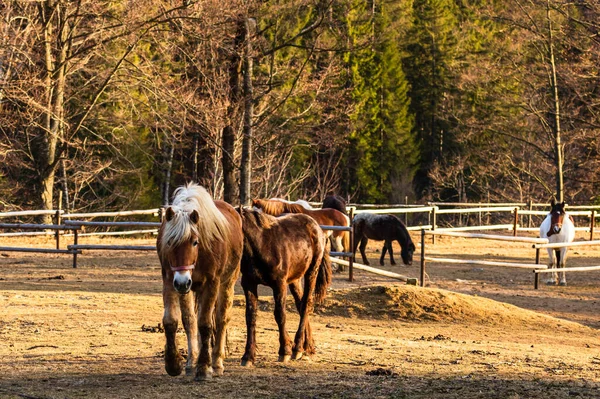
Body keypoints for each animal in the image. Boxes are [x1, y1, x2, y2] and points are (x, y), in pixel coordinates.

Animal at [158, 184, 245, 382]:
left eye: (195, 242)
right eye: (169, 242)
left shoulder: (211, 283)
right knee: (193, 321)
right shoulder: (170, 280)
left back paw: (217, 363)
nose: (183, 282)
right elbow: (176, 321)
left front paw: (204, 368)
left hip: (227, 283)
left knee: (221, 319)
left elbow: (205, 324)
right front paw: (175, 364)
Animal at [238, 208, 332, 368]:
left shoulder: (279, 284)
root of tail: (317, 227)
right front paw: (248, 356)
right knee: (300, 305)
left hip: (311, 272)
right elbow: (250, 317)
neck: (261, 244)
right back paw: (309, 347)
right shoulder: (249, 284)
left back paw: (298, 348)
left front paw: (285, 350)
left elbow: (280, 315)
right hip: (294, 279)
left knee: (306, 304)